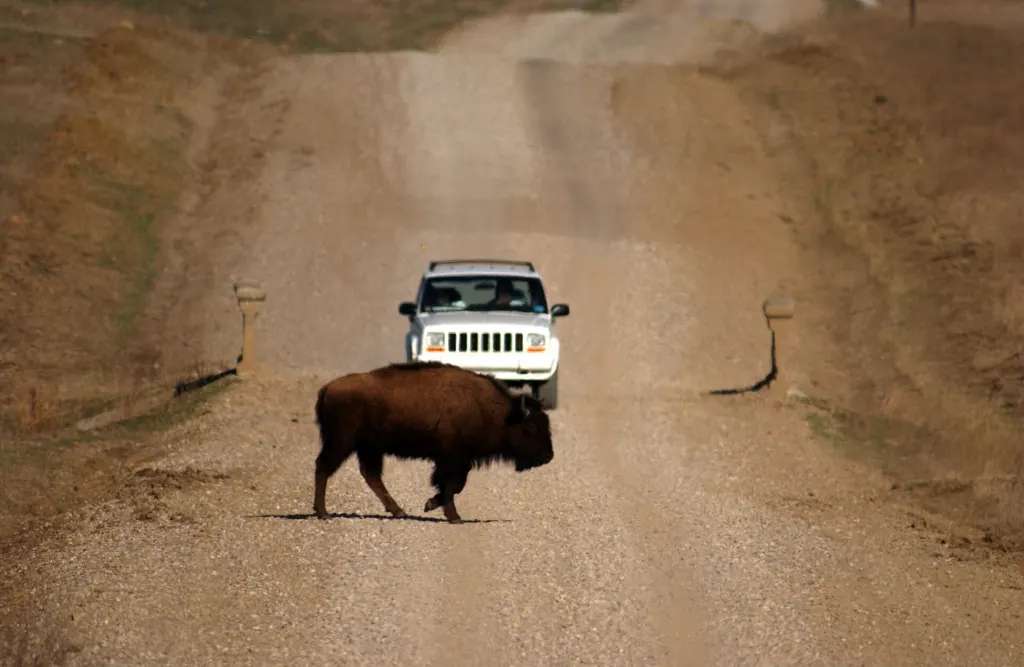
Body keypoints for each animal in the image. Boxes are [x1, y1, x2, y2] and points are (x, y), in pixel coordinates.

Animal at [312, 361, 555, 523]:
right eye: (531, 426)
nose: (548, 456)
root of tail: (328, 388)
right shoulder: (452, 459)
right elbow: (452, 486)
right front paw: (453, 516)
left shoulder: (458, 461)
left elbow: (453, 486)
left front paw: (431, 505)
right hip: (342, 442)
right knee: (323, 467)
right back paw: (323, 513)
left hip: (369, 447)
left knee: (370, 475)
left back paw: (399, 511)